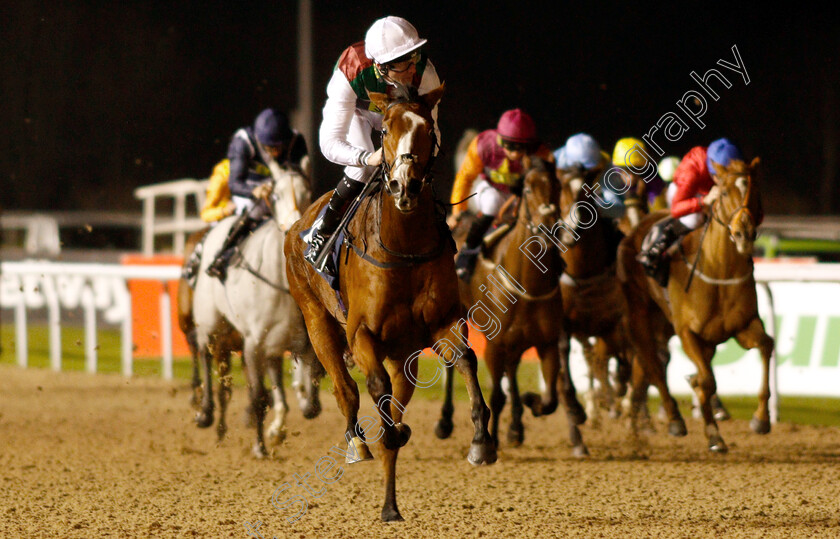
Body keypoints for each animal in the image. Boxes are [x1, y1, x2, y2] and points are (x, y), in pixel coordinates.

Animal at [286, 85, 496, 524]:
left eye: (428, 129)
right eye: (384, 131)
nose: (404, 186)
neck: (405, 248)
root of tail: (298, 224)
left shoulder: (443, 323)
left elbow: (467, 360)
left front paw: (481, 441)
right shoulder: (362, 333)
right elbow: (374, 389)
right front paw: (384, 440)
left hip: (405, 356)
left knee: (397, 399)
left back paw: (392, 490)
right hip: (317, 321)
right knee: (346, 390)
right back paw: (358, 444)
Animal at [436, 159, 588, 456]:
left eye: (556, 187)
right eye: (528, 189)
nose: (548, 227)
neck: (529, 284)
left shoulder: (547, 342)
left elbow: (550, 398)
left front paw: (531, 404)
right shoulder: (494, 345)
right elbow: (496, 395)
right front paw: (491, 440)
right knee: (452, 363)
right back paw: (445, 421)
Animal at [616, 157, 776, 452]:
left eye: (755, 191)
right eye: (723, 193)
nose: (743, 233)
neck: (718, 271)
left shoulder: (743, 325)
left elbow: (766, 346)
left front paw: (761, 419)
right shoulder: (687, 332)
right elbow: (708, 380)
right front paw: (713, 434)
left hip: (666, 326)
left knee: (644, 367)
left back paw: (635, 423)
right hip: (639, 313)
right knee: (653, 365)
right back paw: (672, 420)